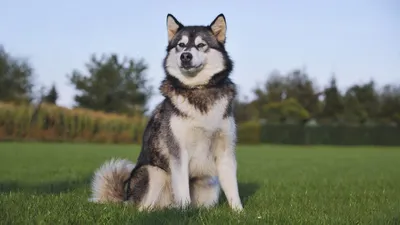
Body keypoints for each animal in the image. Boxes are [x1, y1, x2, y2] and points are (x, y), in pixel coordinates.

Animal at [88, 13, 242, 212]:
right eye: (181, 45)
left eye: (201, 45)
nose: (185, 56)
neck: (198, 90)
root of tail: (125, 199)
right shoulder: (178, 152)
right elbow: (182, 188)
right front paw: (185, 212)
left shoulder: (225, 150)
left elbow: (233, 188)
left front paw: (239, 212)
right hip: (154, 172)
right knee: (143, 208)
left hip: (210, 183)